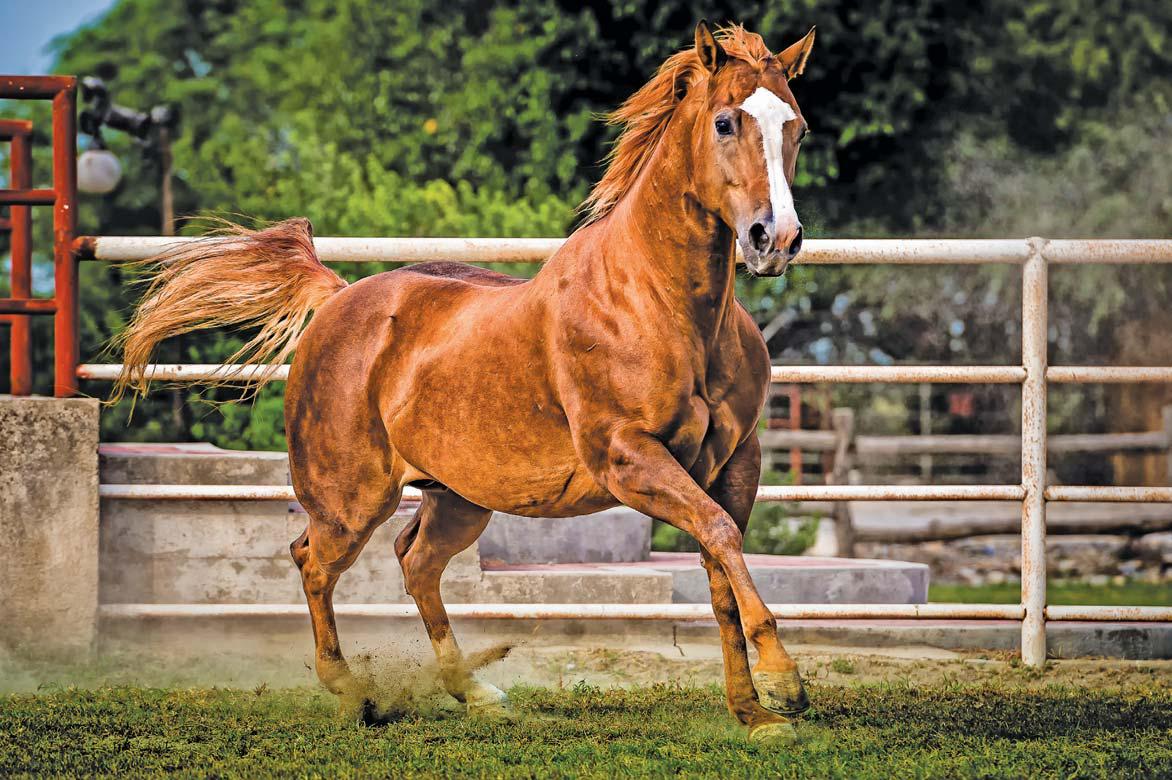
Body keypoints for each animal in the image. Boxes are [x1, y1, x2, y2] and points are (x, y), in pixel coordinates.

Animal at [113, 21, 817, 742]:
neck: (658, 303)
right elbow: (723, 539)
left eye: (796, 126)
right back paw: (354, 693)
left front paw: (755, 713)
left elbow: (718, 568)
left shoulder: (734, 462)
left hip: (457, 498)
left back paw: (475, 691)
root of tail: (337, 298)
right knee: (312, 562)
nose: (775, 238)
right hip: (350, 501)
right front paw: (785, 684)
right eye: (726, 121)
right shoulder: (629, 457)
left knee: (416, 562)